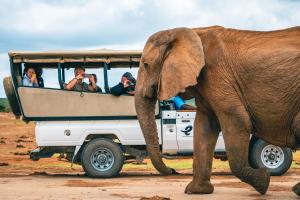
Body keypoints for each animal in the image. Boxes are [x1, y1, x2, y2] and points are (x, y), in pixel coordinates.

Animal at [135, 25, 300, 195]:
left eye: (146, 64)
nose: (173, 170)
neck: (188, 32)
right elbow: (204, 128)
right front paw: (197, 191)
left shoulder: (217, 75)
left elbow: (238, 119)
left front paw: (264, 180)